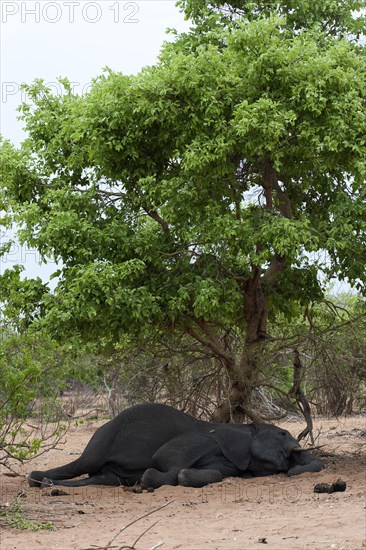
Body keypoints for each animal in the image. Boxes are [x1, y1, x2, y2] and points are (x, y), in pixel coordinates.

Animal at [28, 404, 324, 490]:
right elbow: (165, 463)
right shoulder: (202, 440)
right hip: (102, 439)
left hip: (106, 473)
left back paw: (48, 484)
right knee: (82, 464)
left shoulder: (230, 463)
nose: (293, 465)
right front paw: (148, 481)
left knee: (100, 478)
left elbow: (203, 473)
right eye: (283, 432)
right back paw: (38, 480)